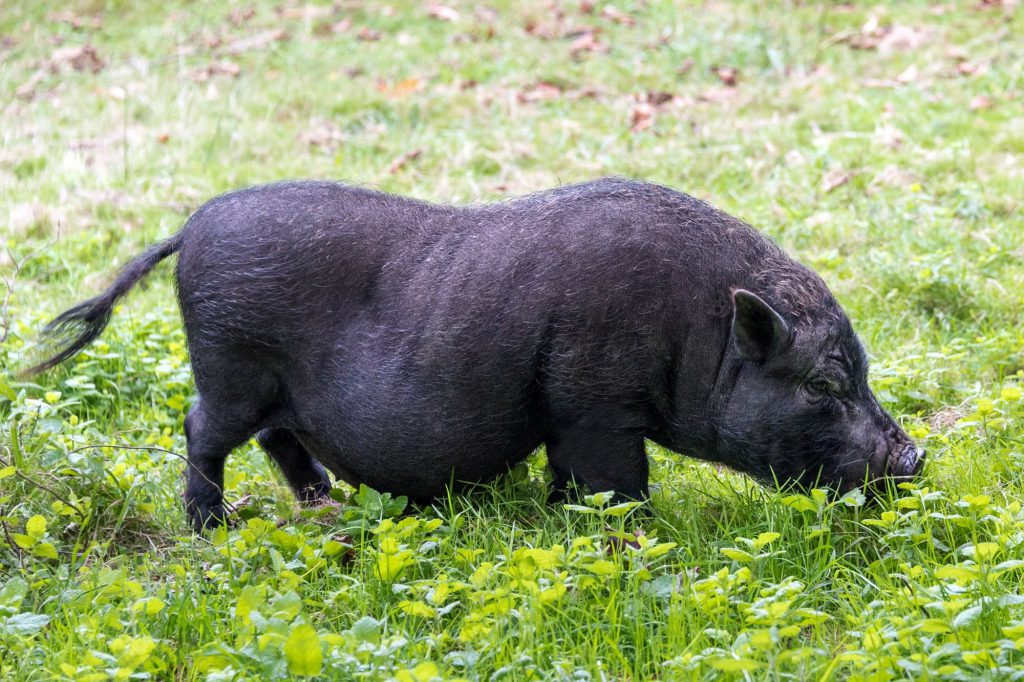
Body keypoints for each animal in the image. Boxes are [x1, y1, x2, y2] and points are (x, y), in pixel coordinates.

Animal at [24, 175, 925, 524]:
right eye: (823, 385)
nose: (915, 459)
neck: (697, 332)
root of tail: (192, 227)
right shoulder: (597, 407)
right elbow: (618, 483)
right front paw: (628, 533)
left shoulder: (572, 417)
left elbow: (571, 480)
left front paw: (562, 516)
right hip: (230, 369)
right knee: (198, 430)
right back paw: (214, 528)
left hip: (270, 387)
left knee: (278, 438)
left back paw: (324, 503)